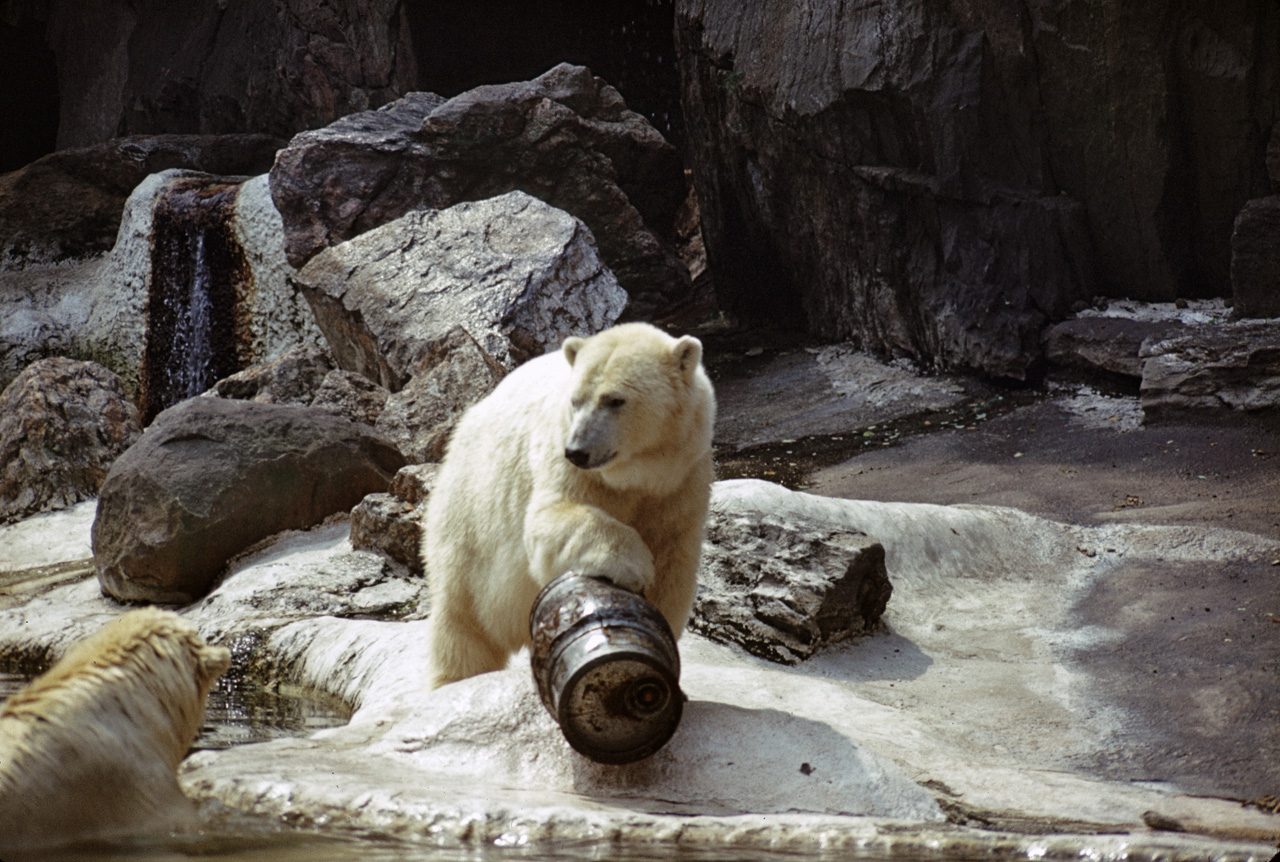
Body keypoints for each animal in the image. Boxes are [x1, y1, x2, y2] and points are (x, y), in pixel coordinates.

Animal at [424, 318, 716, 691]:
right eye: (576, 400)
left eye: (615, 400)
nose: (577, 450)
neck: (639, 475)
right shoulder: (567, 462)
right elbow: (549, 519)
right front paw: (633, 564)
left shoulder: (683, 482)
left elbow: (672, 564)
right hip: (468, 515)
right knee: (462, 621)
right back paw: (451, 680)